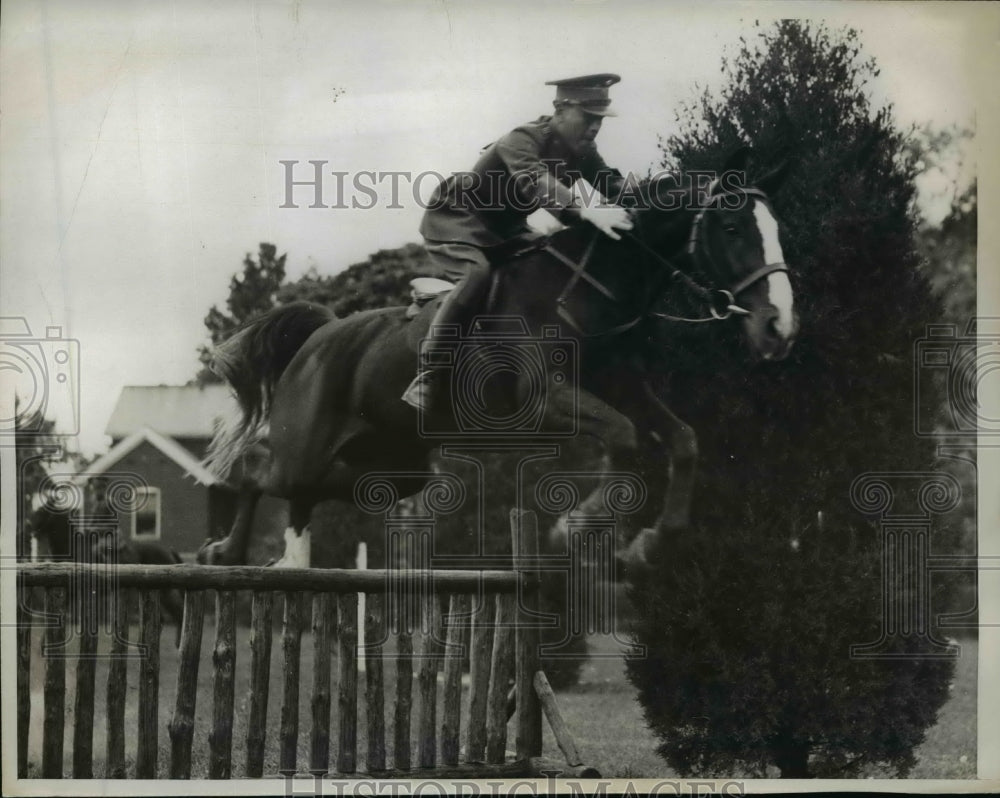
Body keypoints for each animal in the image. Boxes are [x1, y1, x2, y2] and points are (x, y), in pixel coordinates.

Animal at [199, 152, 800, 576]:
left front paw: (649, 546)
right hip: (307, 447)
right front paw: (575, 526)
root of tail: (320, 334)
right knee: (259, 471)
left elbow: (683, 441)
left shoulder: (623, 385)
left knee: (308, 493)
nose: (780, 328)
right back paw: (222, 552)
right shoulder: (546, 402)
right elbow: (625, 436)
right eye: (731, 229)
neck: (589, 290)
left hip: (391, 466)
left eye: (777, 230)